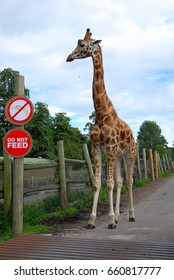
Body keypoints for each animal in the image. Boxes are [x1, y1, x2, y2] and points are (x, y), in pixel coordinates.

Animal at [66, 29, 137, 230]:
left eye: (82, 44)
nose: (69, 57)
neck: (101, 112)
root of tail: (133, 134)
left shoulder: (110, 148)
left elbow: (109, 183)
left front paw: (110, 220)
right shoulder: (96, 148)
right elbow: (98, 183)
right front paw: (92, 220)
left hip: (129, 154)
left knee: (129, 180)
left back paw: (130, 215)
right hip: (119, 156)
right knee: (121, 180)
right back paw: (120, 216)